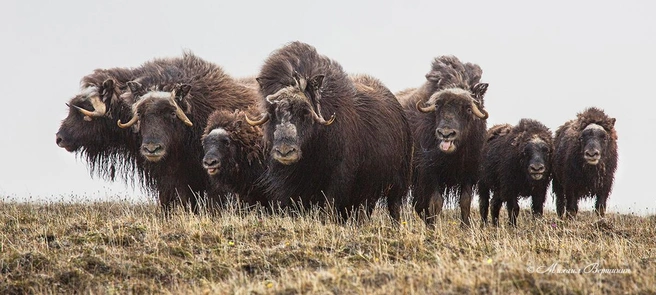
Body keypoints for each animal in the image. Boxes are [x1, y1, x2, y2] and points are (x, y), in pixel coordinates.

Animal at [246, 41, 410, 222]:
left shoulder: (337, 181)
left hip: (397, 182)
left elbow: (329, 207)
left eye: (305, 112)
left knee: (393, 206)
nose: (285, 151)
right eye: (272, 111)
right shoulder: (289, 188)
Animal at [398, 55, 490, 227]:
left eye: (468, 109)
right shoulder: (430, 173)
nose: (446, 134)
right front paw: (434, 227)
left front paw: (465, 226)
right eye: (438, 106)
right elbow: (436, 202)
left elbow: (465, 201)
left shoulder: (468, 173)